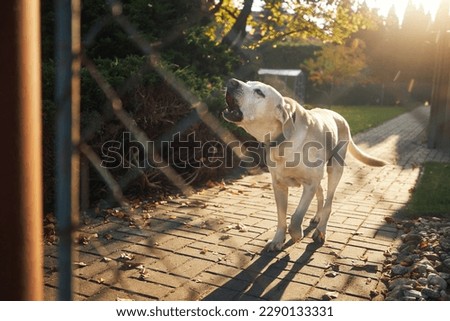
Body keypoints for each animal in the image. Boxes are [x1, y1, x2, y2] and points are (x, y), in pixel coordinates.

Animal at [223, 77, 384, 250]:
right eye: (247, 82)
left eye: (259, 92)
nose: (231, 82)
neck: (283, 141)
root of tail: (340, 116)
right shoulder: (279, 185)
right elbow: (281, 217)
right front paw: (278, 240)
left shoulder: (310, 184)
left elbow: (296, 216)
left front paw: (296, 234)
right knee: (321, 195)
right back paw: (317, 217)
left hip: (335, 169)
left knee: (328, 203)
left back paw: (320, 231)